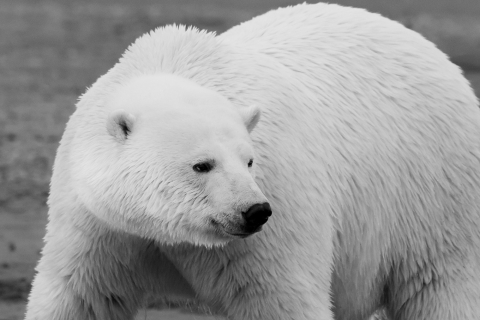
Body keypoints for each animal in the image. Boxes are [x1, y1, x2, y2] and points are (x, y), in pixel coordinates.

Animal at [25, 2, 480, 320]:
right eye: (202, 164)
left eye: (249, 161)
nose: (255, 210)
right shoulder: (99, 223)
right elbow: (80, 295)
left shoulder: (275, 220)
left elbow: (279, 298)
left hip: (434, 192)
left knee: (440, 286)